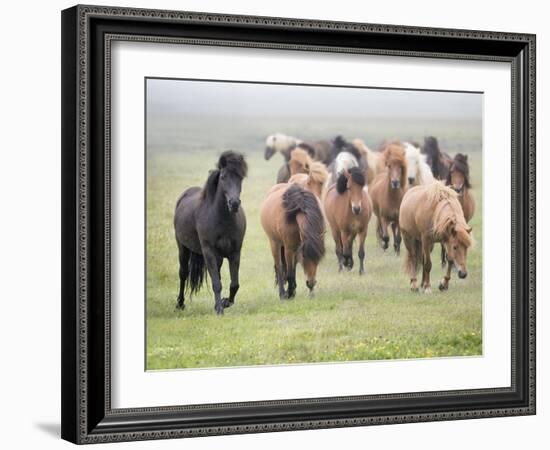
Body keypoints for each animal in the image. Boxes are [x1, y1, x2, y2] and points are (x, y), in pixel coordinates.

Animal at [175, 150, 248, 312]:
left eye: (240, 177)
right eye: (223, 177)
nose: (234, 203)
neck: (222, 218)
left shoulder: (235, 253)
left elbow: (234, 284)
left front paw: (225, 302)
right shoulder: (209, 252)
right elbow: (216, 283)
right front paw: (220, 309)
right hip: (183, 248)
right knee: (183, 273)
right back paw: (180, 303)